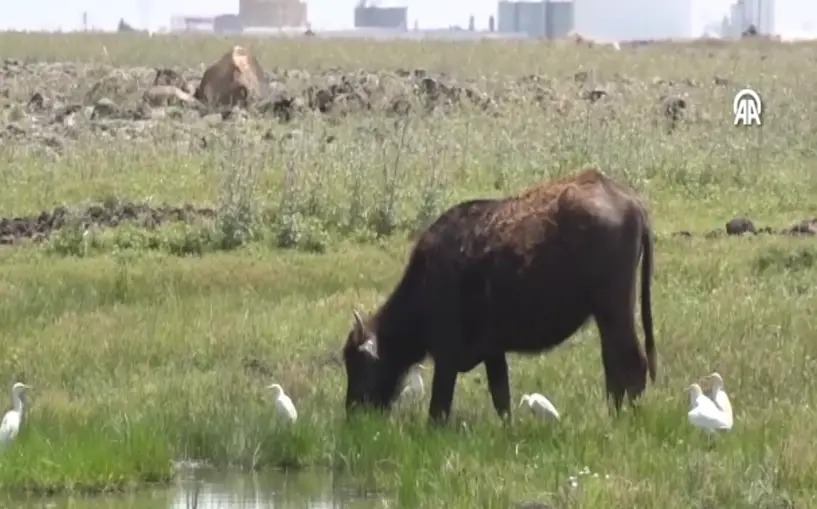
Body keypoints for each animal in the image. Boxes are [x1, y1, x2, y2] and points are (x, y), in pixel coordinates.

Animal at [342, 169, 656, 422]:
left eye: (358, 365)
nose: (353, 411)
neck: (428, 279)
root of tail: (629, 200)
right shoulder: (493, 353)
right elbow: (501, 398)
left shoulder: (446, 359)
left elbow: (439, 409)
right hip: (607, 315)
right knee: (613, 364)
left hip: (615, 310)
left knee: (631, 363)